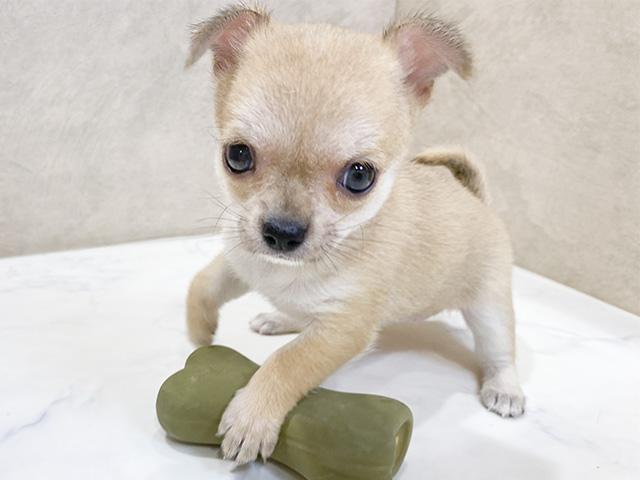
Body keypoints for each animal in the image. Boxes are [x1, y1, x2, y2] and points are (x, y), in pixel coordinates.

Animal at [185, 3, 524, 464]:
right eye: (237, 156)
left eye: (360, 177)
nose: (282, 233)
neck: (288, 269)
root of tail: (475, 197)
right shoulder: (243, 261)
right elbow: (203, 283)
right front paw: (200, 331)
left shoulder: (342, 330)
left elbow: (289, 362)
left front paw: (252, 416)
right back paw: (278, 317)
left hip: (489, 305)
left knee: (499, 348)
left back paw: (504, 387)